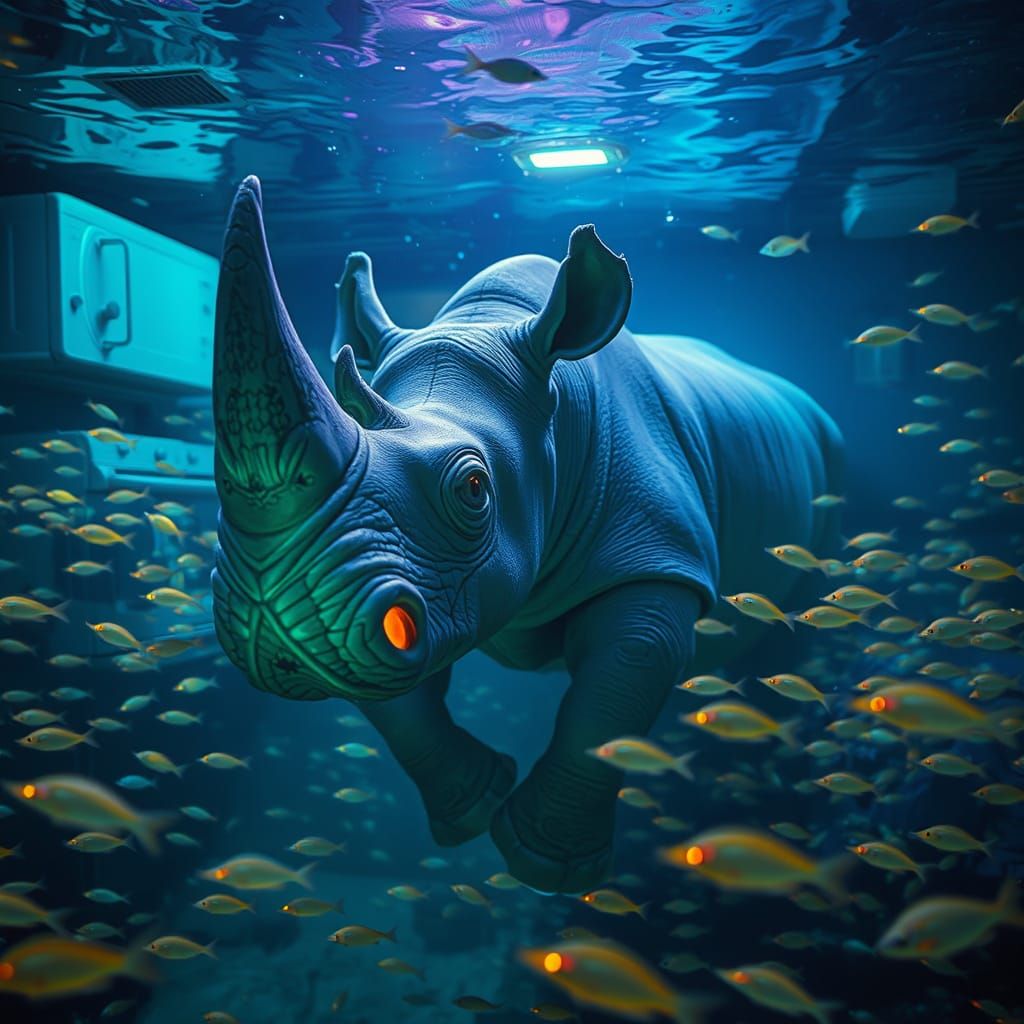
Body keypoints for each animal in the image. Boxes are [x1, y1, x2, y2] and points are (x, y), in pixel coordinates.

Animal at [212, 176, 843, 894]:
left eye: (473, 488)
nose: (275, 622)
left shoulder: (657, 552)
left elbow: (622, 679)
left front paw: (547, 865)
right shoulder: (377, 572)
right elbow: (398, 701)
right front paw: (475, 804)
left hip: (831, 445)